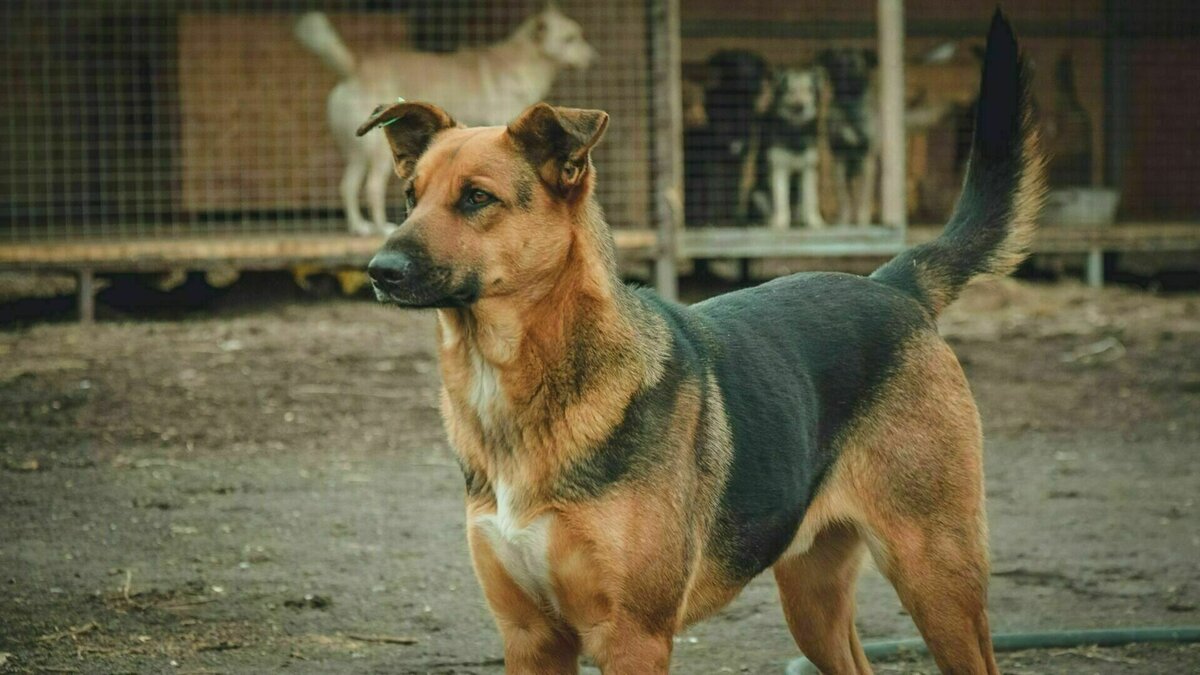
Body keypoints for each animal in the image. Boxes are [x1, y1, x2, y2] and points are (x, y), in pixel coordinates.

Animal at [295, 5, 595, 234]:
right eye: (570, 39)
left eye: (580, 35)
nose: (594, 57)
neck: (525, 60)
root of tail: (355, 69)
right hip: (379, 154)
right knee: (371, 188)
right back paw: (381, 227)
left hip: (358, 153)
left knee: (346, 186)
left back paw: (359, 227)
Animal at [355, 11, 1041, 672]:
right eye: (410, 198)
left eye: (477, 198)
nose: (378, 271)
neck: (516, 379)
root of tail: (893, 285)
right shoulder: (530, 638)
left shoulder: (632, 639)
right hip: (813, 600)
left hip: (936, 576)